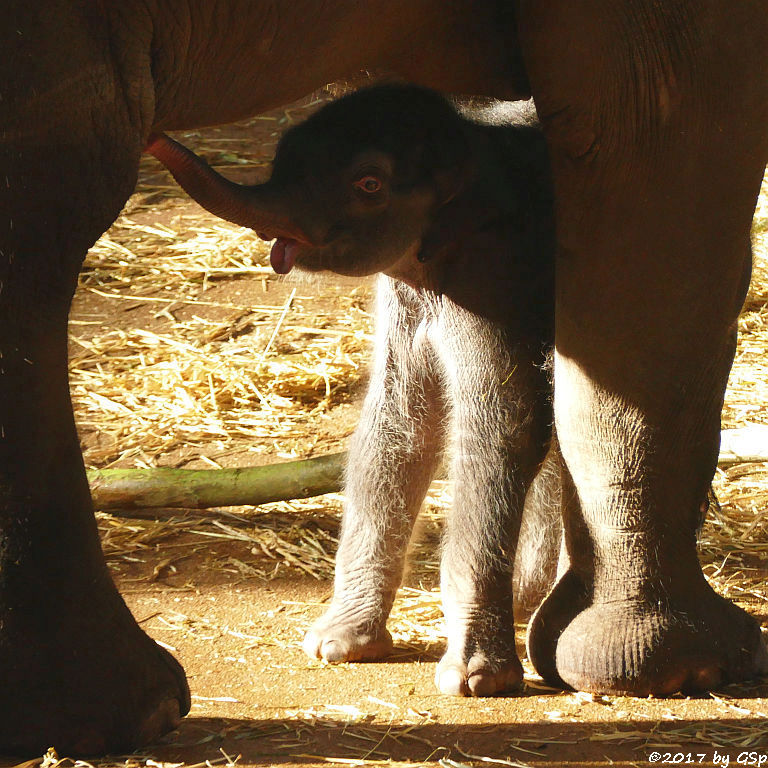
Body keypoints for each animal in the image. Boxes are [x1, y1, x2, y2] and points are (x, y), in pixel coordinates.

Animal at [150, 85, 556, 696]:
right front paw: (337, 645)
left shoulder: (502, 281)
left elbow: (502, 429)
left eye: (369, 185)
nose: (150, 134)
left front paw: (473, 679)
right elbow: (397, 421)